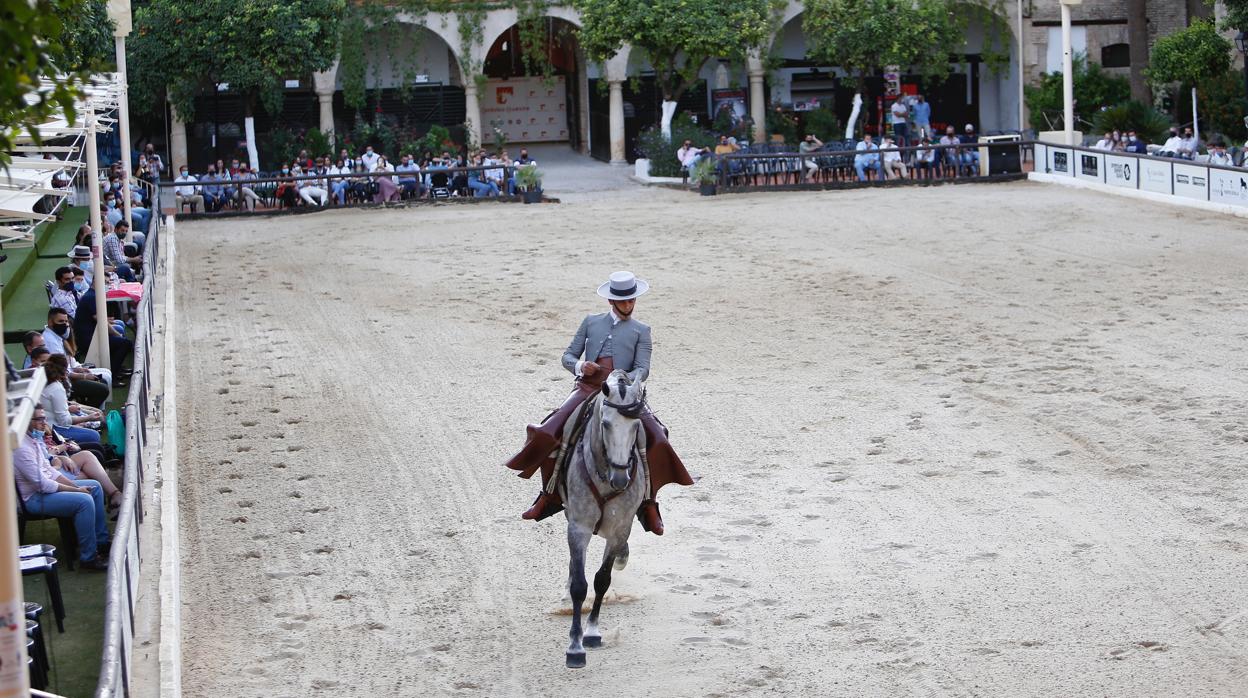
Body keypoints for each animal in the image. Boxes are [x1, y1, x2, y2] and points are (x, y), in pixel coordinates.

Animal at [561, 369, 648, 669]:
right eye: (606, 424)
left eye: (636, 426)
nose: (620, 478)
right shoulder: (579, 527)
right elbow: (580, 585)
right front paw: (574, 648)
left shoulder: (621, 528)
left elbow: (602, 579)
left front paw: (592, 633)